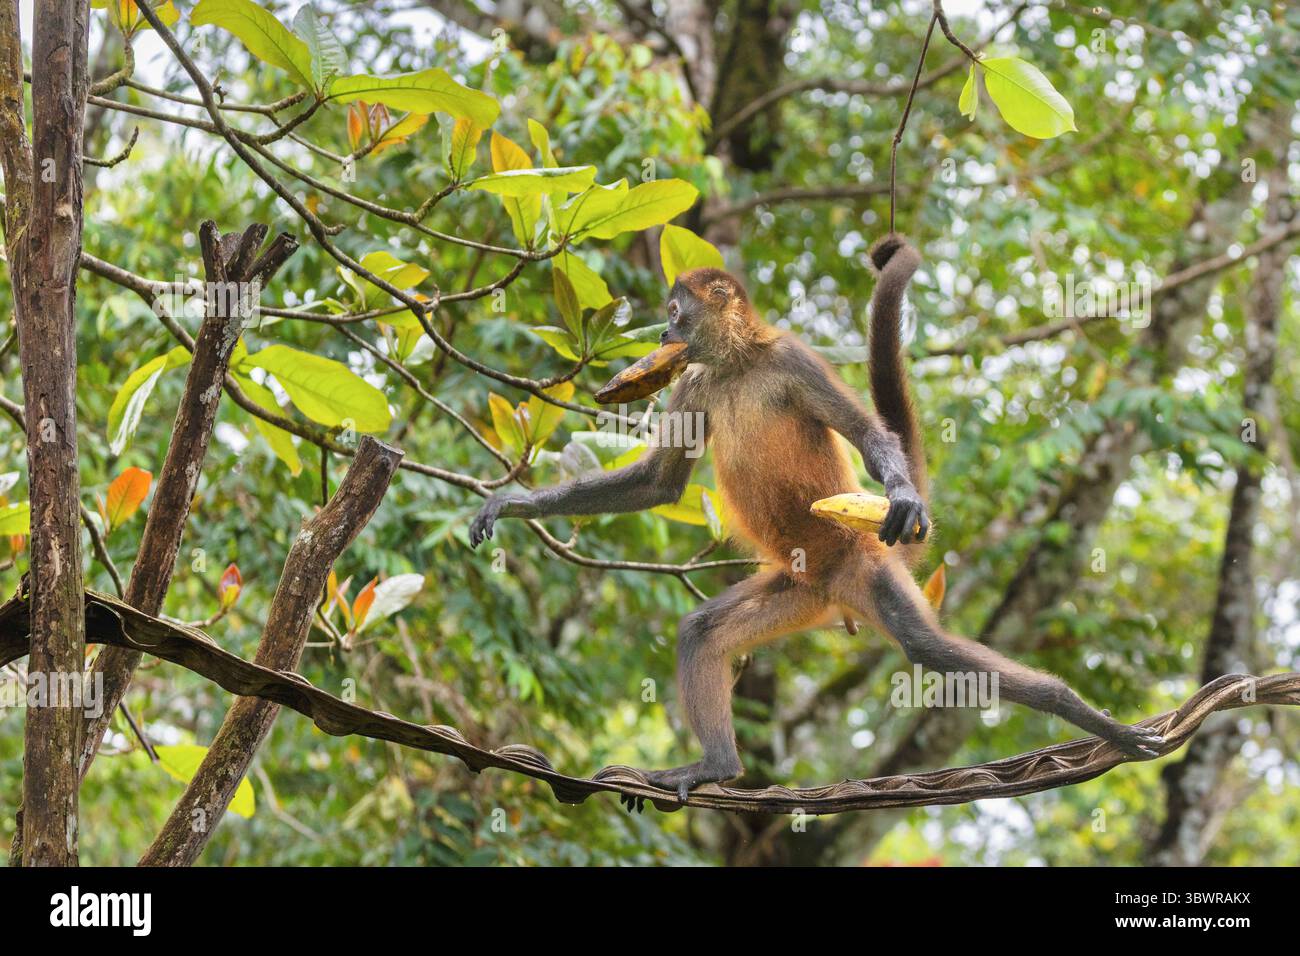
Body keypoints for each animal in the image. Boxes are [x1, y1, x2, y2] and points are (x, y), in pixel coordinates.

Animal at [469, 234, 1165, 802]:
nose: (663, 339)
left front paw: (902, 493)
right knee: (702, 630)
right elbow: (658, 483)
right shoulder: (693, 380)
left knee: (930, 649)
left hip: (864, 568)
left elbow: (866, 432)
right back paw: (719, 767)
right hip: (797, 588)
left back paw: (1083, 713)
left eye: (672, 313)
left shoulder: (790, 361)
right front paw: (517, 502)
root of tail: (835, 579)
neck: (738, 366)